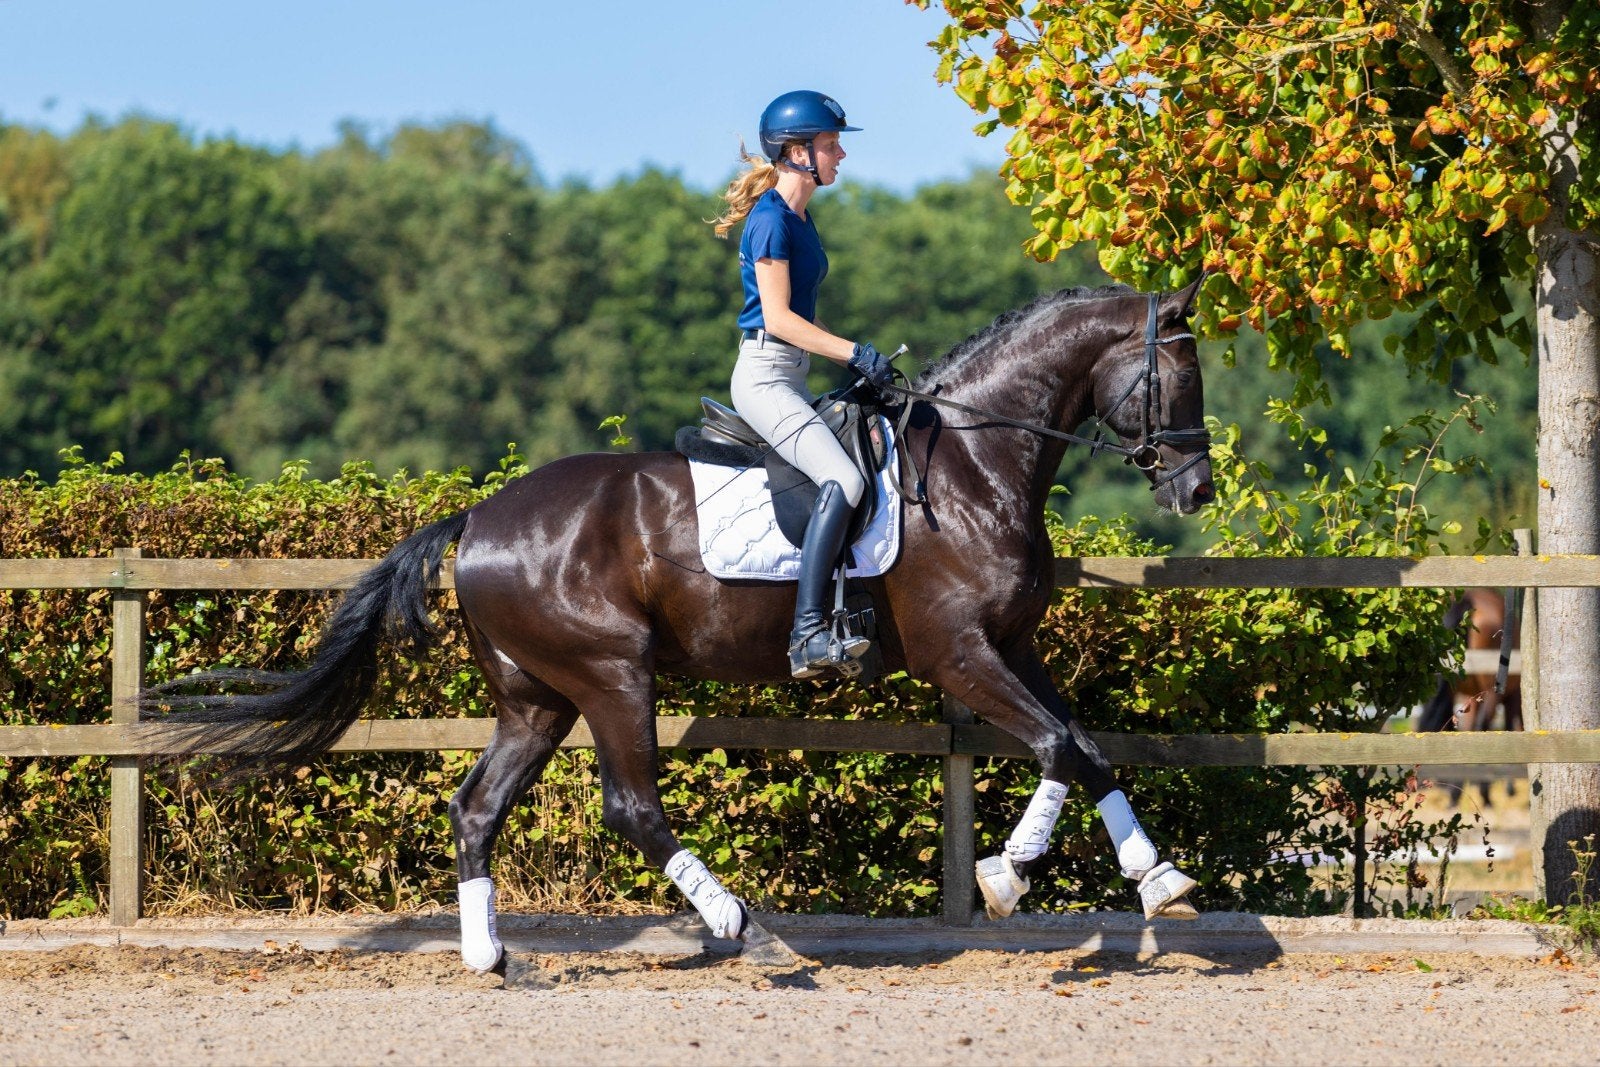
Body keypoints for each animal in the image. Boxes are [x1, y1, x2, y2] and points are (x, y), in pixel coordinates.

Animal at [144, 279, 1215, 974]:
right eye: (1180, 376)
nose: (1197, 486)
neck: (971, 466)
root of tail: (479, 517)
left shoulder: (1014, 644)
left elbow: (1085, 744)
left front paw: (1157, 878)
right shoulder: (958, 653)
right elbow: (1053, 746)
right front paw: (1005, 875)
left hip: (537, 696)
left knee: (478, 807)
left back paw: (492, 954)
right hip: (613, 672)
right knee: (632, 806)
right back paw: (746, 924)